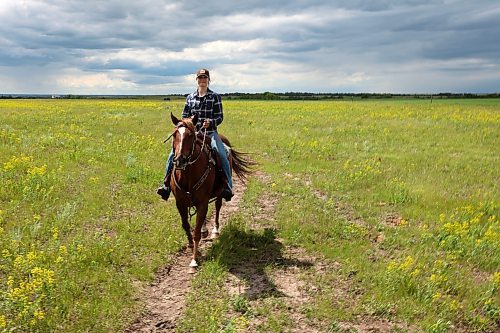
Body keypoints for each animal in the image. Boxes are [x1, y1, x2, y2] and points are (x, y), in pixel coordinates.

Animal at [169, 113, 254, 268]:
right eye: (174, 134)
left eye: (191, 135)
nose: (179, 160)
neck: (188, 174)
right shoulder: (180, 203)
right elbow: (186, 225)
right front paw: (191, 247)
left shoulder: (202, 202)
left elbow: (196, 231)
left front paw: (194, 260)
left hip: (220, 192)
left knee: (218, 207)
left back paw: (215, 230)